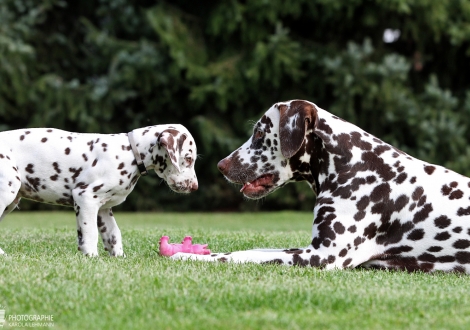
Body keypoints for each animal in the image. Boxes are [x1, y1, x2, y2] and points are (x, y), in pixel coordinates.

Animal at [0, 124, 197, 255]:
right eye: (188, 158)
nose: (195, 187)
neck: (130, 153)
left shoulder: (103, 208)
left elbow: (113, 234)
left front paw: (119, 257)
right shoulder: (85, 197)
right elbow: (90, 233)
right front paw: (91, 256)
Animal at [172, 100, 470, 274]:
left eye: (259, 132)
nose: (221, 165)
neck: (354, 164)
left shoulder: (322, 256)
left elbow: (243, 256)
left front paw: (188, 257)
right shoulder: (312, 248)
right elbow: (251, 251)